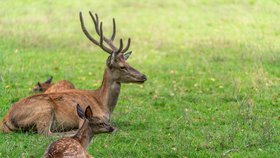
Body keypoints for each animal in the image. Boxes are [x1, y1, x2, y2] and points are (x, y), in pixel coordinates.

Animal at [0, 11, 148, 135]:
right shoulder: (86, 116)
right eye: (122, 67)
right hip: (44, 109)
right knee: (45, 133)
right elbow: (114, 128)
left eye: (129, 63)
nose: (143, 76)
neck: (103, 104)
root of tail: (6, 119)